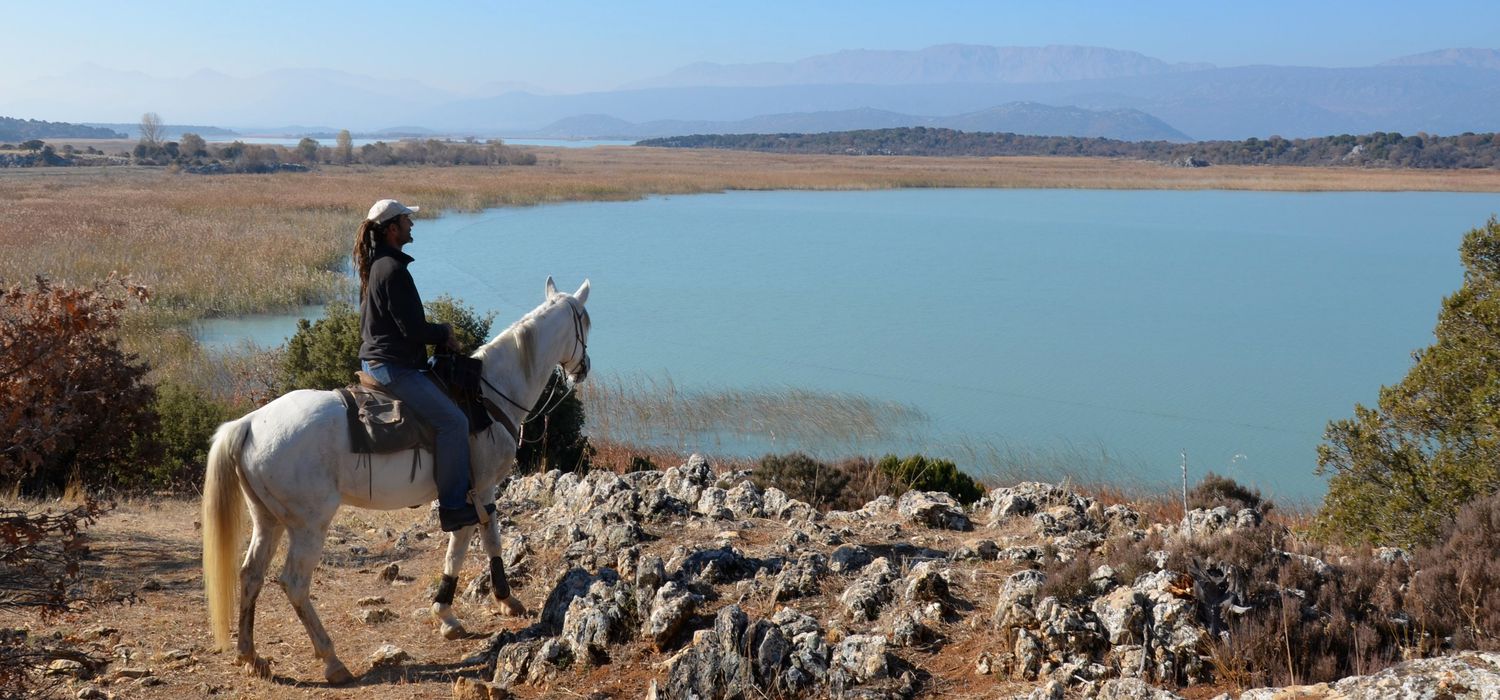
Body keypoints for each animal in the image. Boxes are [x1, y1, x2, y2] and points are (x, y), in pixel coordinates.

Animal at [198, 277, 591, 683]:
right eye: (586, 322)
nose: (583, 368)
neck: (488, 393)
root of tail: (248, 423)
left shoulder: (467, 493)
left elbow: (463, 545)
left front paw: (449, 613)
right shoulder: (479, 489)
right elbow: (481, 542)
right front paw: (492, 601)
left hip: (268, 519)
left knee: (250, 575)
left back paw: (250, 654)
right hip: (308, 525)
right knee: (294, 583)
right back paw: (332, 660)